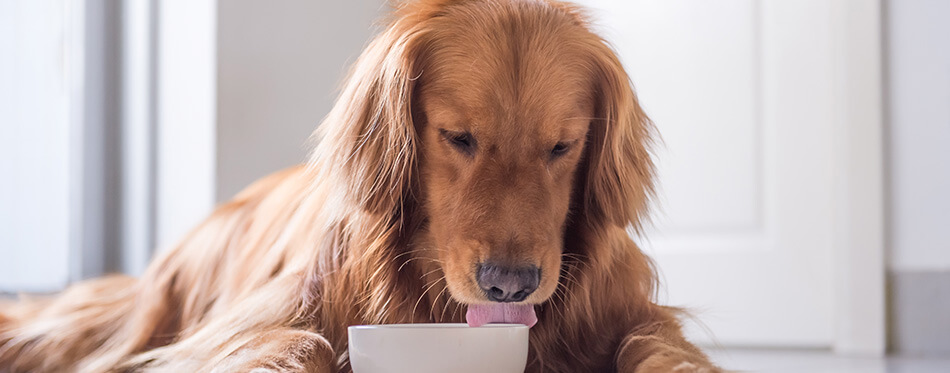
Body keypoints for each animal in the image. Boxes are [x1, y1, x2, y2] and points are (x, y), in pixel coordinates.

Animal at [0, 0, 720, 370]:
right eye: (459, 137)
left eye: (562, 147)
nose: (509, 285)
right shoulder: (258, 321)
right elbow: (297, 342)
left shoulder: (632, 316)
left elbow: (657, 346)